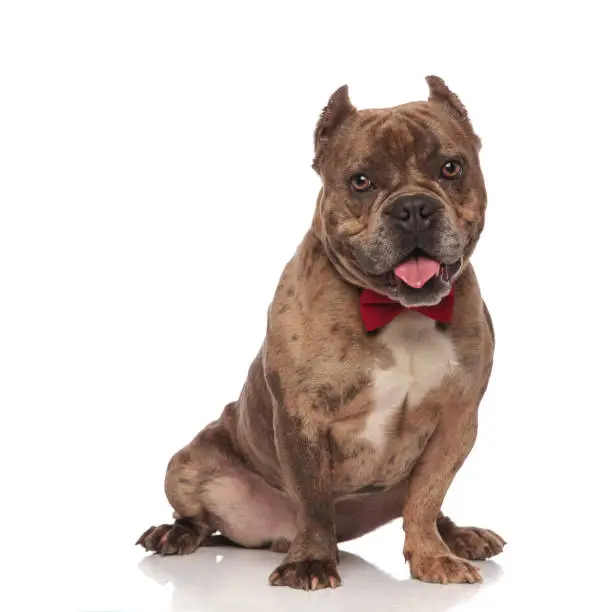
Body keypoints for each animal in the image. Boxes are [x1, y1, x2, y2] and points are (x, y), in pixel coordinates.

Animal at [136, 75, 504, 588]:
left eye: (451, 168)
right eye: (361, 181)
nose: (413, 207)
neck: (392, 309)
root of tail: (268, 536)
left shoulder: (456, 421)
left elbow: (427, 498)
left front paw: (433, 557)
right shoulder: (301, 417)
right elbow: (312, 498)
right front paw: (310, 562)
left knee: (426, 509)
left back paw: (460, 535)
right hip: (187, 463)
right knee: (200, 516)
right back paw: (174, 534)